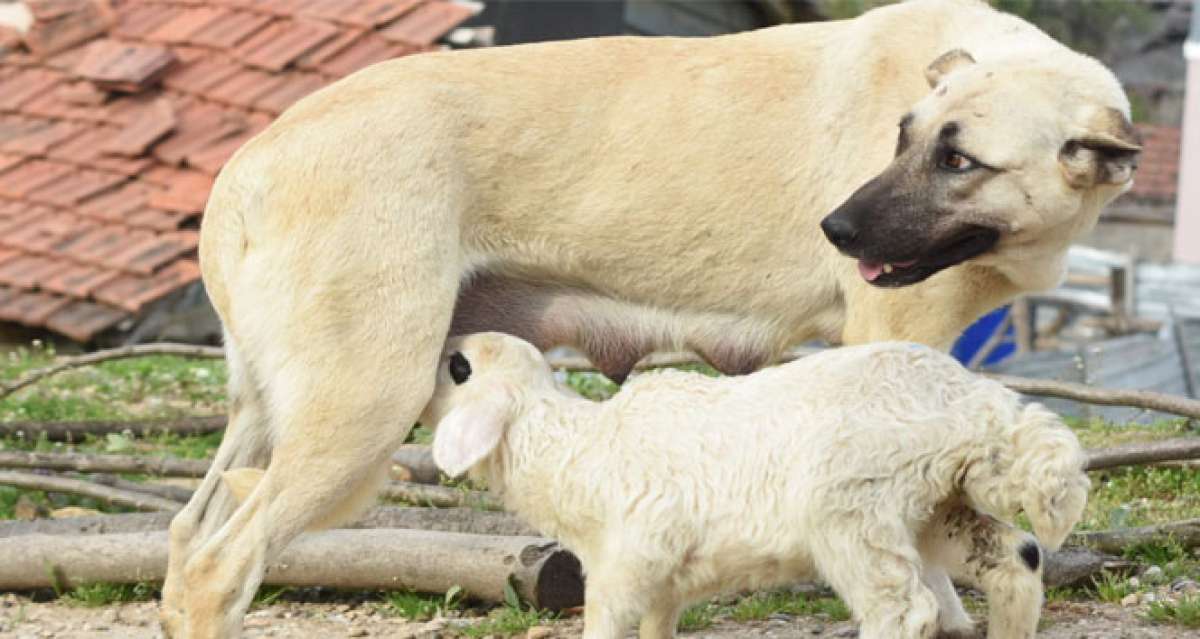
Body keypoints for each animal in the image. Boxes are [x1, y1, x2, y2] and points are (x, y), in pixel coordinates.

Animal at [427, 333, 1094, 639]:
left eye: (459, 367)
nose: (442, 345)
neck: (574, 450)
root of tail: (978, 403)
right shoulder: (664, 582)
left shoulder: (630, 560)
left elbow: (606, 625)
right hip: (934, 506)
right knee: (1018, 558)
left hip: (853, 509)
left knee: (905, 610)